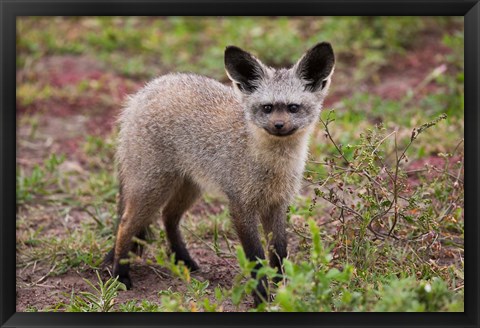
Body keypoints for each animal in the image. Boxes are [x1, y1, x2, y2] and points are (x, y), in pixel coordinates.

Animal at [104, 41, 334, 304]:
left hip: (189, 188)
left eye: (293, 108)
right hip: (152, 188)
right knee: (125, 225)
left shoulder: (277, 204)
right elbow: (256, 258)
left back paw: (184, 260)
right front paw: (261, 297)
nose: (278, 125)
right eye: (267, 108)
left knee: (168, 217)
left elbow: (278, 253)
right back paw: (120, 275)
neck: (273, 167)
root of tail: (143, 92)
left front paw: (283, 290)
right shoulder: (241, 206)